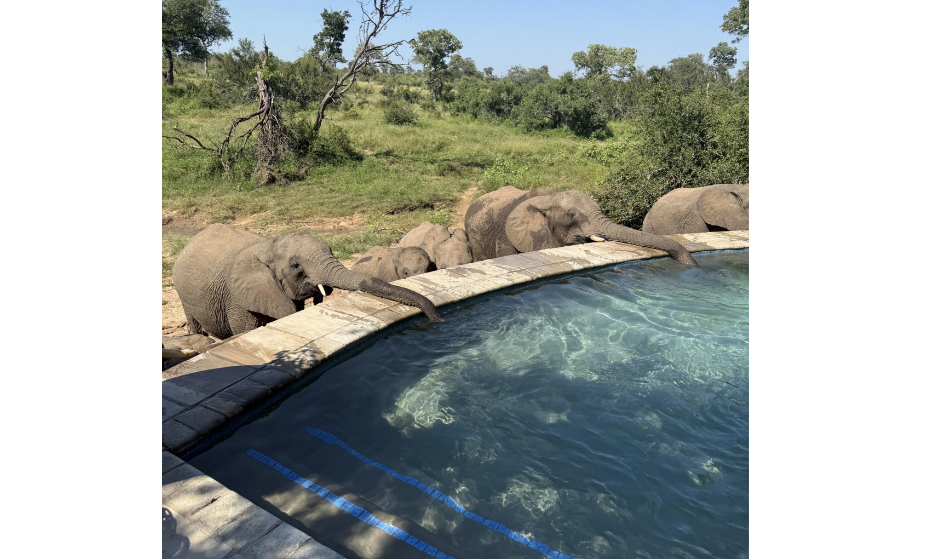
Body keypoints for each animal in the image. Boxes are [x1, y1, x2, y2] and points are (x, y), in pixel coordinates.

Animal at [173, 224, 443, 339]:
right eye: (295, 266)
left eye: (331, 250)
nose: (438, 320)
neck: (269, 244)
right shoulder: (237, 298)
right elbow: (247, 330)